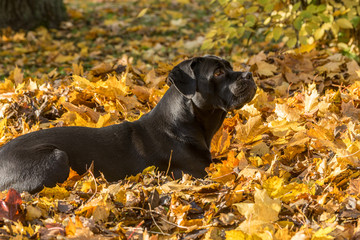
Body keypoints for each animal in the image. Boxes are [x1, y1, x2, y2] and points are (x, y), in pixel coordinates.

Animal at [0, 55, 256, 192]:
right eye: (218, 72)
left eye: (230, 66)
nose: (249, 74)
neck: (184, 122)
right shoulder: (197, 172)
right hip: (56, 158)